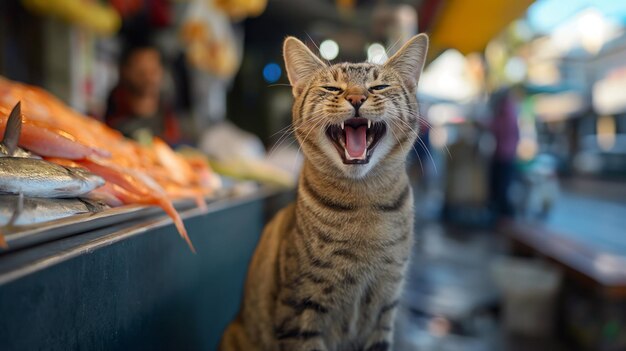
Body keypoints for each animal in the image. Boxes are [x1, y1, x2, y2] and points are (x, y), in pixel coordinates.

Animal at [219, 33, 428, 351]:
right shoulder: (300, 310)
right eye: (332, 88)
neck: (363, 200)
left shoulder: (384, 308)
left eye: (378, 87)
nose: (356, 98)